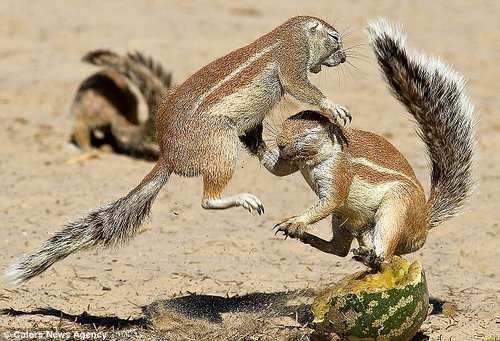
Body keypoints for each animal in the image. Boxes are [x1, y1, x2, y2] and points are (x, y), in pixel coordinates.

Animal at [8, 15, 352, 282]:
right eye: (334, 38)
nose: (345, 58)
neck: (290, 34)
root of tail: (168, 156)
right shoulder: (291, 60)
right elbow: (301, 87)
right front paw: (334, 107)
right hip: (219, 145)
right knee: (207, 200)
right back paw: (242, 197)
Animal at [250, 17, 476, 268]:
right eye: (283, 125)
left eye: (309, 135)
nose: (281, 144)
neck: (316, 159)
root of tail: (424, 223)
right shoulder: (295, 162)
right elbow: (278, 170)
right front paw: (252, 137)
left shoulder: (339, 173)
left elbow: (329, 200)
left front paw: (296, 221)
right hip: (346, 218)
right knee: (340, 249)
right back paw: (312, 238)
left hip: (396, 209)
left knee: (384, 257)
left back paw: (369, 255)